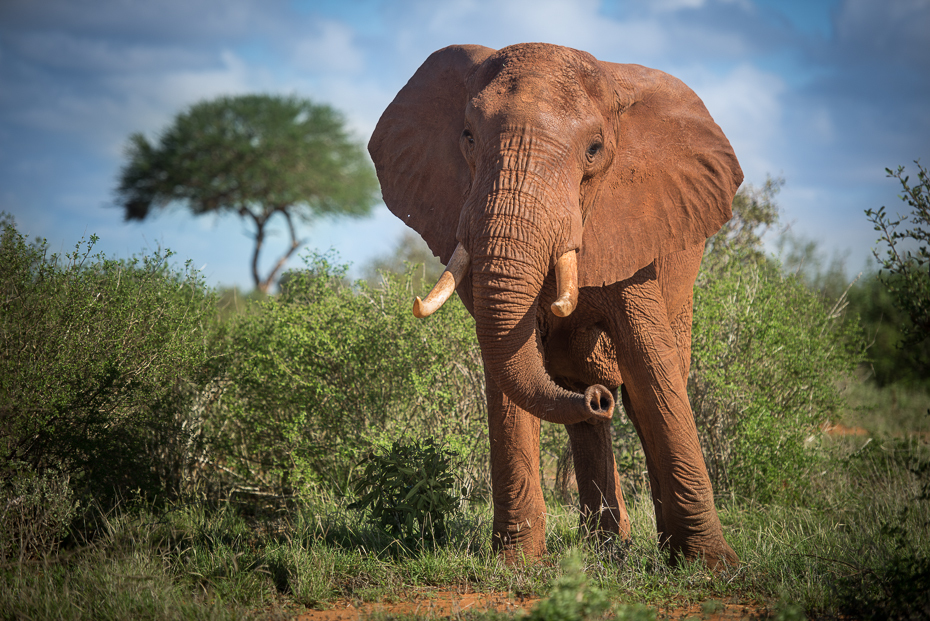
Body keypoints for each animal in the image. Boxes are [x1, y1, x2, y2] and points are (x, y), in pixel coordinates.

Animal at [366, 42, 744, 568]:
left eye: (594, 150)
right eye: (467, 137)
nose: (600, 399)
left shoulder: (634, 231)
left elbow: (651, 369)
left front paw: (713, 567)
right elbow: (510, 368)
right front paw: (517, 565)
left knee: (644, 393)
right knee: (580, 407)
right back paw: (607, 547)